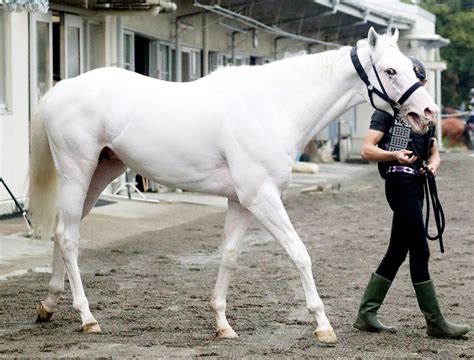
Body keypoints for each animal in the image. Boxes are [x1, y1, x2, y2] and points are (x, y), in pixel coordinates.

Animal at [29, 28, 436, 344]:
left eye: (412, 67)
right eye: (390, 70)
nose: (428, 113)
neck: (273, 109)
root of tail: (61, 89)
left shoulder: (242, 202)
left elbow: (229, 256)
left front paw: (223, 324)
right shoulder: (263, 197)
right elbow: (299, 253)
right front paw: (323, 325)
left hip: (100, 173)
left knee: (63, 232)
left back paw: (48, 307)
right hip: (77, 172)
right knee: (68, 236)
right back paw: (87, 317)